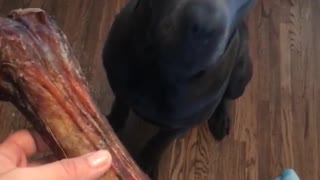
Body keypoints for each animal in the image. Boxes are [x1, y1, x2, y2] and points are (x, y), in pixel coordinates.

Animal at [102, 0, 255, 177]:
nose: (204, 26)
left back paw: (221, 117)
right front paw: (109, 127)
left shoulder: (180, 126)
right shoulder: (119, 84)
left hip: (239, 78)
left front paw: (146, 164)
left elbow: (159, 142)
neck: (160, 69)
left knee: (226, 97)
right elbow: (119, 107)